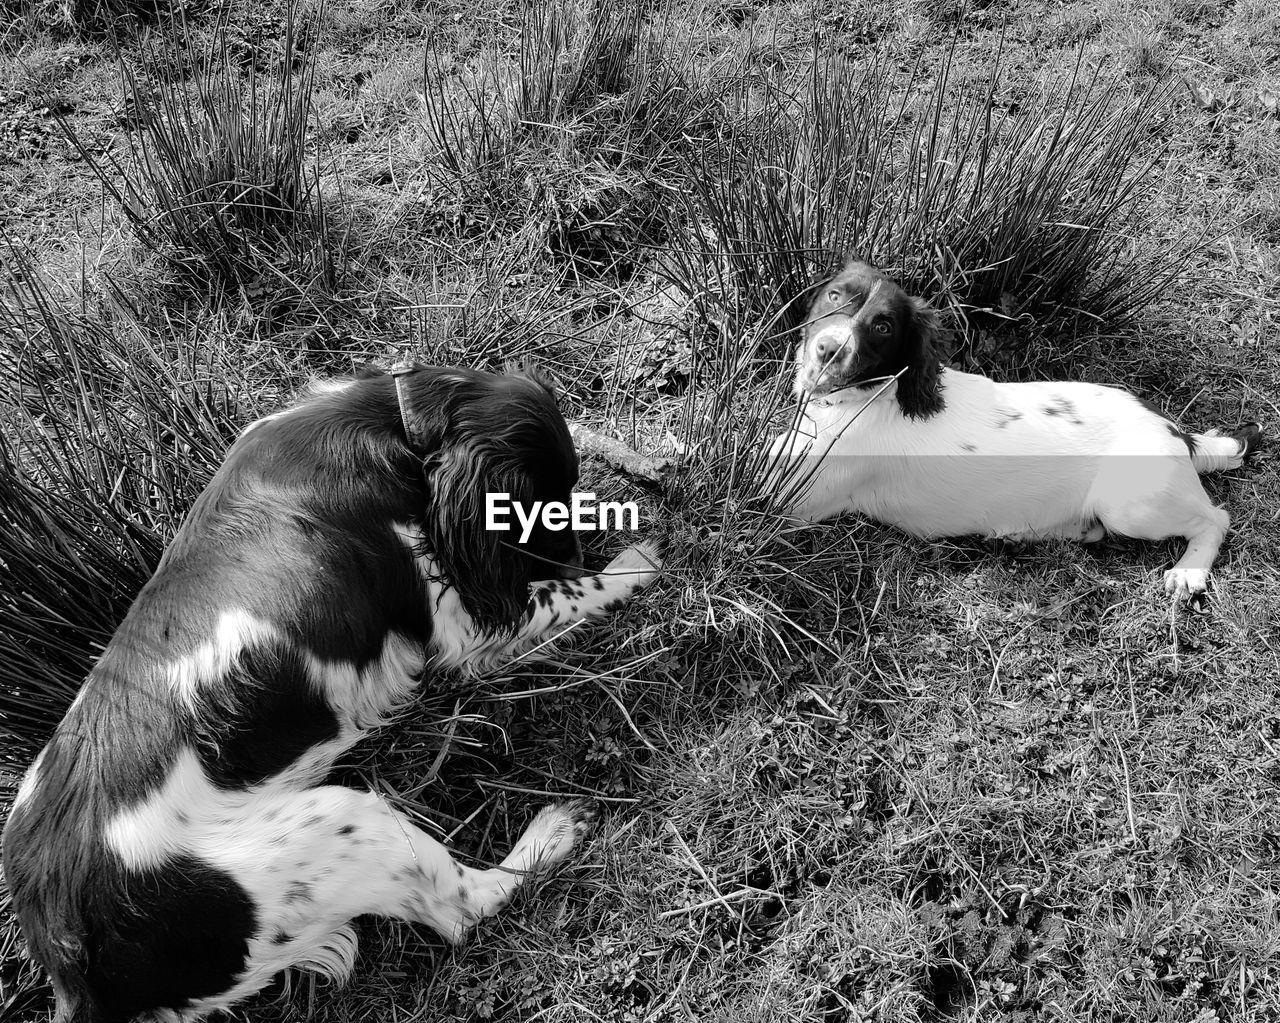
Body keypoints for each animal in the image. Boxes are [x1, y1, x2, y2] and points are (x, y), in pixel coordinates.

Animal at [0, 363, 660, 1023]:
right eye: (542, 507)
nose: (575, 554)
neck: (388, 417)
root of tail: (74, 969)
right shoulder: (462, 628)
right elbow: (572, 593)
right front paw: (636, 561)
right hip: (340, 822)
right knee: (462, 908)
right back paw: (556, 829)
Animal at [768, 259, 1259, 604]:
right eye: (834, 294)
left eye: (883, 327)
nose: (828, 349)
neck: (869, 396)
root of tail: (1176, 431)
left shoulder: (796, 500)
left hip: (1131, 503)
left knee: (1216, 519)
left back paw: (1188, 572)